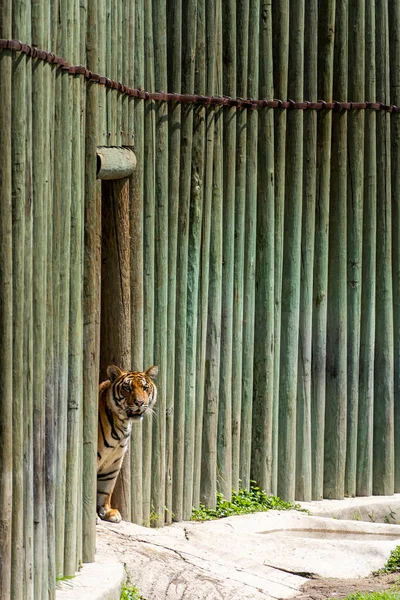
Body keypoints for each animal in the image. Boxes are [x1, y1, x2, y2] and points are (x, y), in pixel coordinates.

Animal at [97, 364, 158, 524]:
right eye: (127, 388)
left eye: (145, 388)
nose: (140, 403)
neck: (122, 423)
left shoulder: (114, 460)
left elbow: (106, 488)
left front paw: (107, 512)